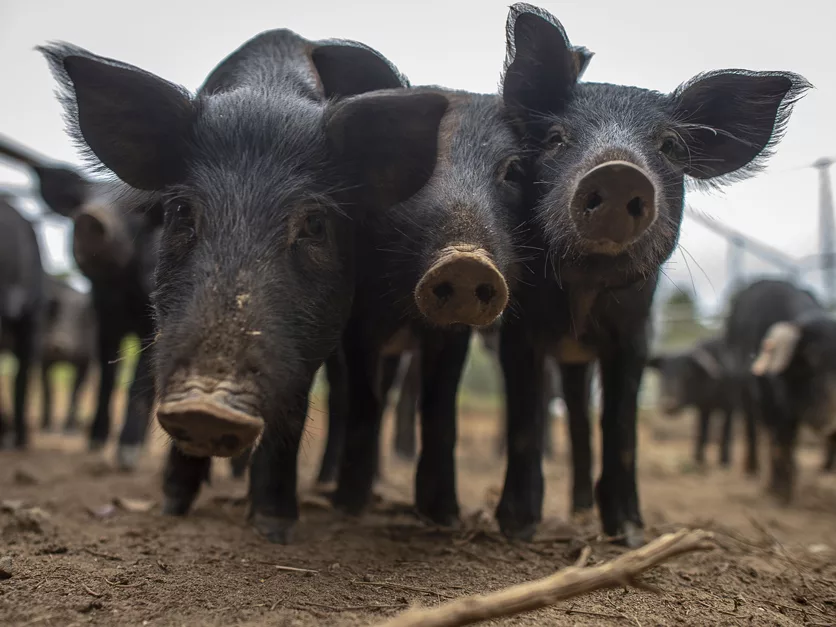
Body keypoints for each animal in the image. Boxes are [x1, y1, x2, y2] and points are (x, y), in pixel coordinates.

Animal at [39, 273, 97, 432]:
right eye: (55, 316)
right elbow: (47, 390)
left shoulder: (85, 361)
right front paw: (46, 427)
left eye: (77, 321)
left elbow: (76, 390)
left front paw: (69, 429)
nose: (58, 342)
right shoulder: (44, 359)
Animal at [647, 337, 739, 467]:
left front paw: (724, 462)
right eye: (662, 373)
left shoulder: (729, 406)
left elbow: (725, 432)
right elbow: (701, 432)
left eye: (687, 373)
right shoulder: (702, 407)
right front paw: (698, 460)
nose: (668, 403)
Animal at [729, 278, 836, 503]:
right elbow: (781, 439)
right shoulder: (770, 402)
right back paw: (750, 472)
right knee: (751, 423)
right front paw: (780, 495)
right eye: (814, 360)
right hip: (740, 387)